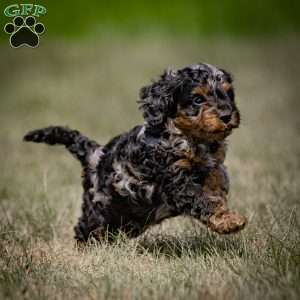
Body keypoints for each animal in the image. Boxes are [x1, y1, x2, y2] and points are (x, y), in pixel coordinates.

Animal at [24, 63, 246, 244]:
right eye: (198, 99)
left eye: (229, 94)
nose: (227, 115)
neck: (192, 139)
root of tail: (95, 153)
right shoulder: (175, 181)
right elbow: (202, 200)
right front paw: (230, 220)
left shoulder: (212, 166)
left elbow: (216, 181)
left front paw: (221, 203)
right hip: (99, 211)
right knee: (85, 229)